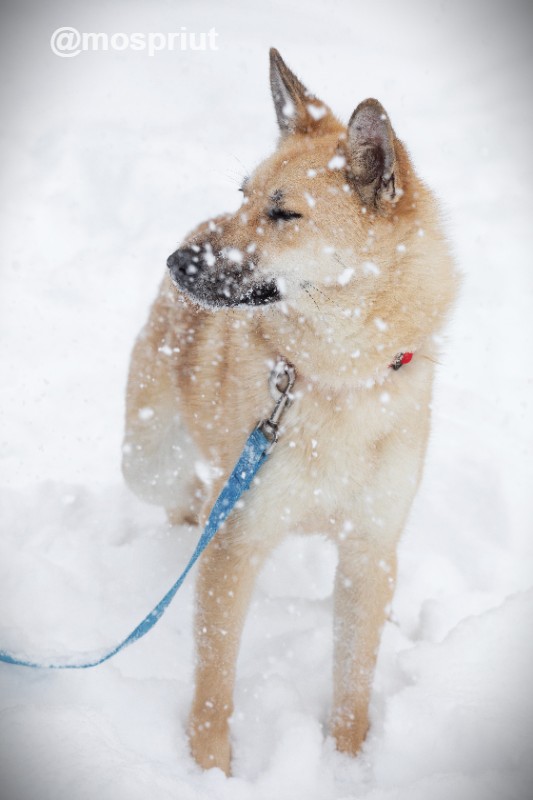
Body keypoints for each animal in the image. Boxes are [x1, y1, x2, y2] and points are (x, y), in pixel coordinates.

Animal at [121, 50, 458, 776]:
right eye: (245, 194)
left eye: (284, 214)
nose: (177, 261)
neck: (339, 377)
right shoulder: (237, 544)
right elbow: (215, 683)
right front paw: (209, 771)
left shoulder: (368, 545)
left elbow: (354, 681)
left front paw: (348, 765)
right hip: (147, 462)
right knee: (187, 497)